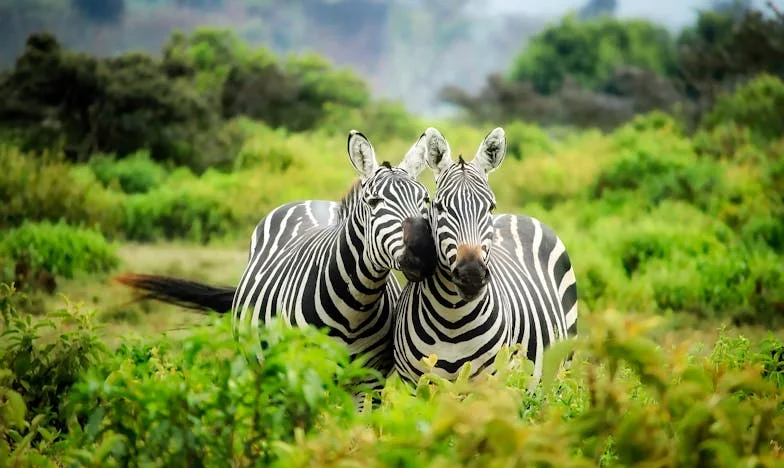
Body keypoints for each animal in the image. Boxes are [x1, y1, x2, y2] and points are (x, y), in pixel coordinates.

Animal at [114, 130, 438, 396]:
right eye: (373, 203)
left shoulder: (369, 382)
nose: (423, 253)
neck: (355, 307)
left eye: (425, 200)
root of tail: (311, 201)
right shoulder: (303, 374)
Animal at [390, 126, 576, 386]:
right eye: (439, 207)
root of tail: (519, 215)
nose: (472, 275)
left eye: (490, 207)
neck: (452, 319)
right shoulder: (415, 384)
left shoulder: (490, 382)